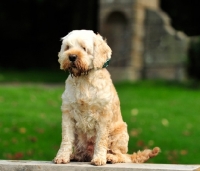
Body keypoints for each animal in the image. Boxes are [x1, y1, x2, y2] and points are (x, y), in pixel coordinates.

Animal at [54, 29, 160, 166]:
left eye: (84, 48)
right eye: (68, 47)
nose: (72, 56)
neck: (84, 80)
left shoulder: (103, 116)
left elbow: (101, 140)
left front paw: (99, 158)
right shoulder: (68, 114)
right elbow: (66, 139)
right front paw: (62, 157)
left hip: (120, 134)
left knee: (123, 156)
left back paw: (110, 157)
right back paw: (75, 156)